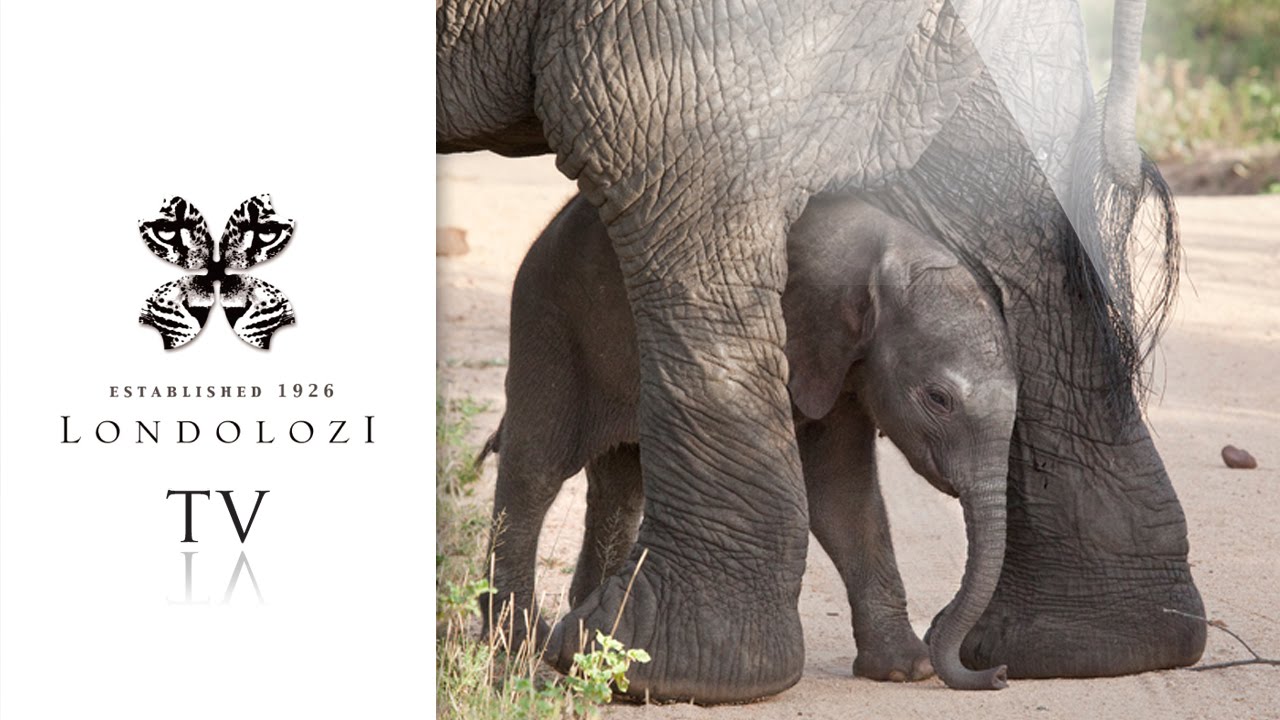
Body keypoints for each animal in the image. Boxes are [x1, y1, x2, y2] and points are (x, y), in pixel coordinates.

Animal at [479, 193, 1019, 690]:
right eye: (939, 399)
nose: (998, 673)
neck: (888, 255)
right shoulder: (795, 333)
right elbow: (832, 489)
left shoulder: (840, 365)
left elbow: (845, 493)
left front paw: (905, 670)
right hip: (548, 319)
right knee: (537, 467)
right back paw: (519, 642)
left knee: (620, 480)